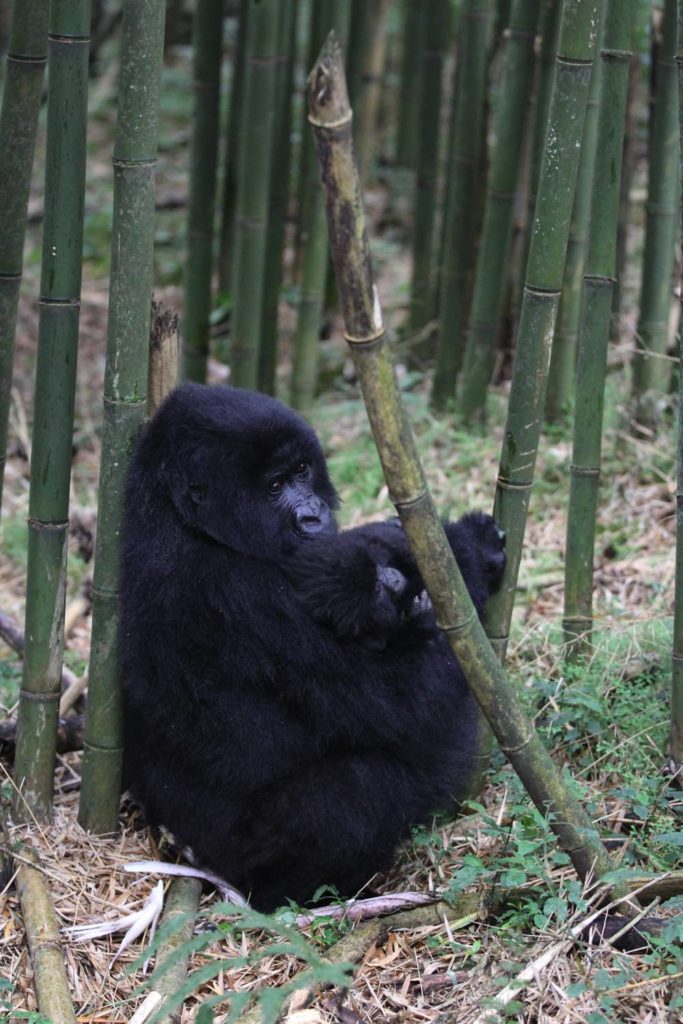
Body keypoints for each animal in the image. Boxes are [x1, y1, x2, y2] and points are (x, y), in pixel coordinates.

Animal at [121, 385, 507, 913]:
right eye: (274, 486)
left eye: (301, 471)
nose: (312, 514)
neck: (185, 522)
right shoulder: (246, 600)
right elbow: (405, 701)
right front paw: (464, 548)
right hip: (232, 852)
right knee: (358, 790)